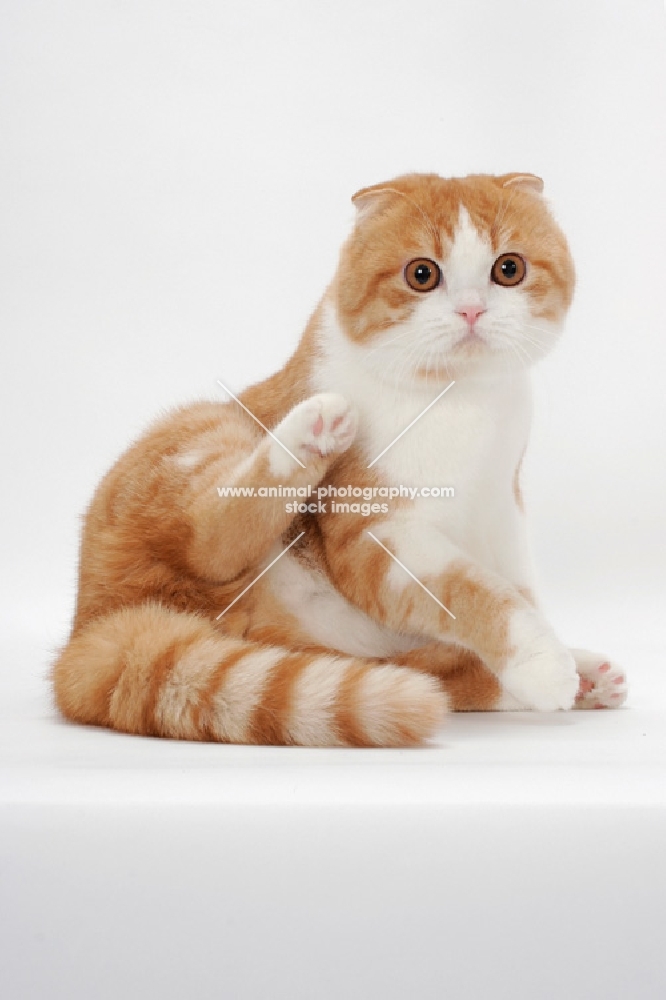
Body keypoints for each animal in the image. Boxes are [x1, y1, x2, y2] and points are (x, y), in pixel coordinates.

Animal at [50, 170, 624, 744]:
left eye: (509, 269)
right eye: (422, 274)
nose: (471, 310)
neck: (459, 400)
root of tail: (92, 621)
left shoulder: (502, 514)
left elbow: (516, 590)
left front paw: (556, 659)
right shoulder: (375, 535)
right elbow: (475, 591)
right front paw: (541, 661)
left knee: (429, 671)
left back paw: (584, 678)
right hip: (203, 432)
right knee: (208, 540)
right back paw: (312, 433)